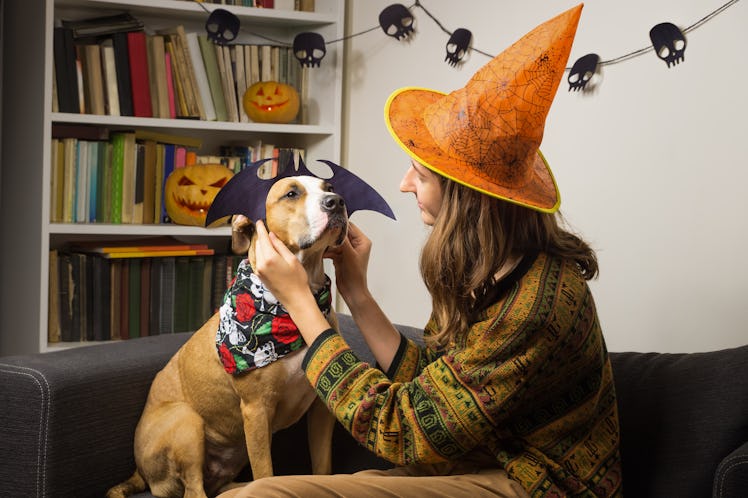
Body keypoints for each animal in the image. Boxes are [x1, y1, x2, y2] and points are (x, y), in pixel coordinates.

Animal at [108, 176, 348, 498]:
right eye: (291, 193)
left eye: (328, 187)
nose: (336, 201)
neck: (294, 303)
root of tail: (139, 473)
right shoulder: (257, 410)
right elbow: (265, 472)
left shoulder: (322, 410)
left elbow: (322, 466)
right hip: (186, 421)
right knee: (194, 490)